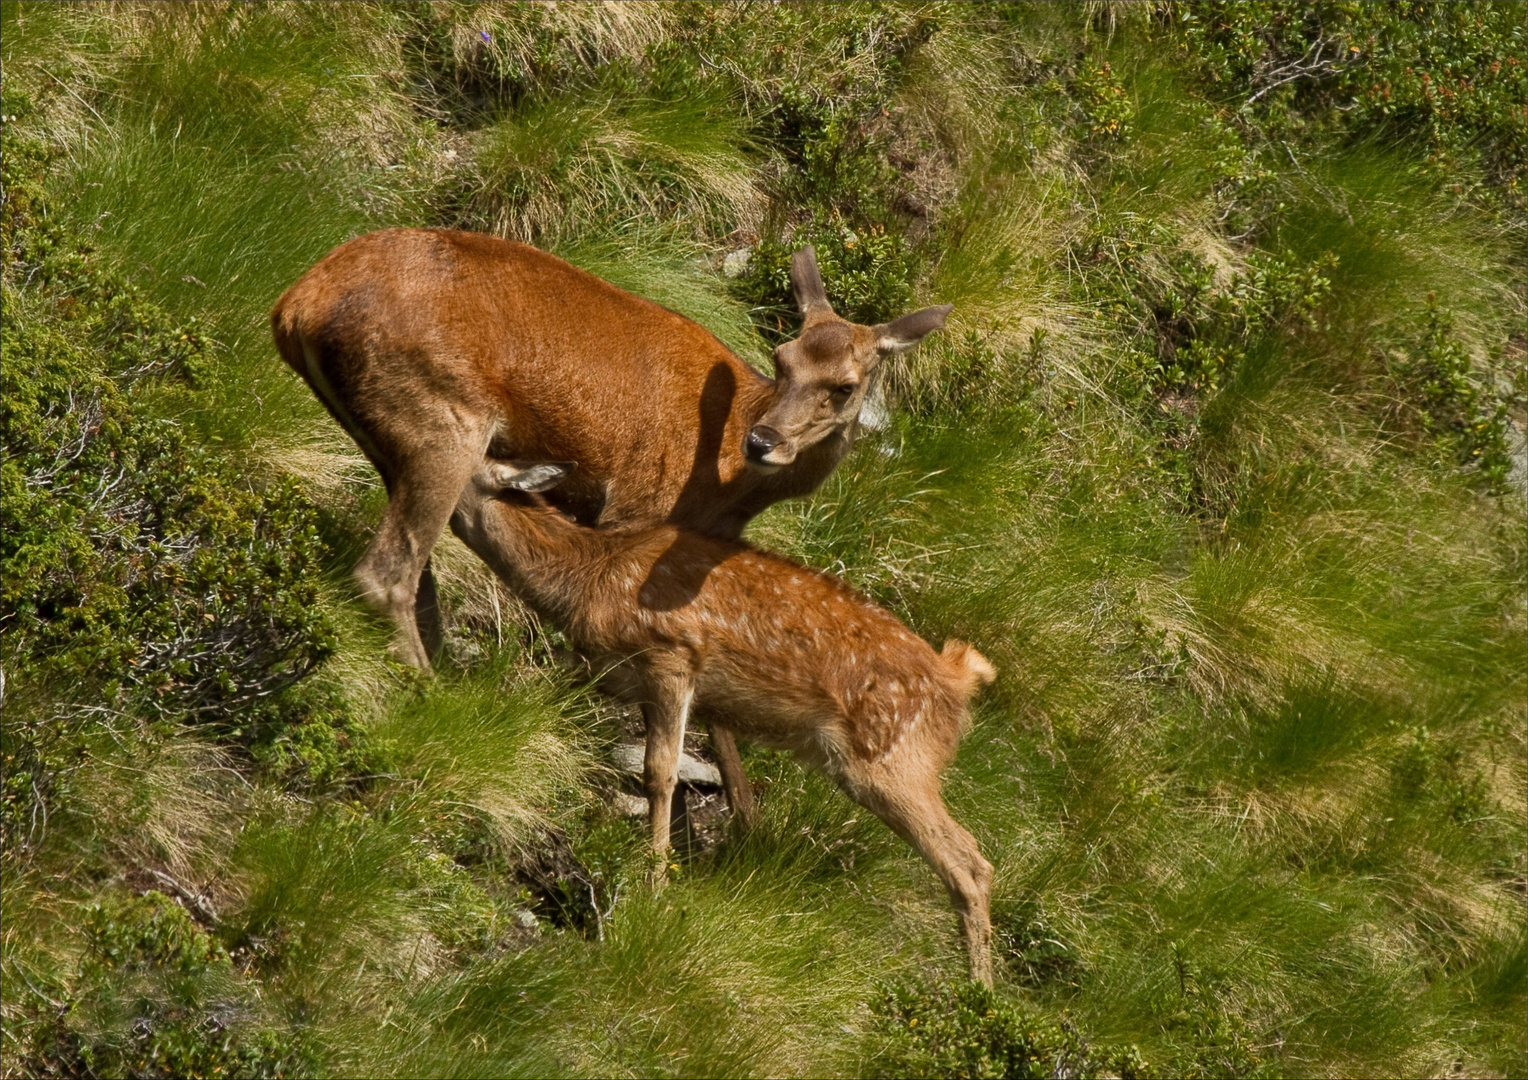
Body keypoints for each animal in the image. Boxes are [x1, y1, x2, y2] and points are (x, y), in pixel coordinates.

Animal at [268, 226, 947, 818]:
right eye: (782, 358)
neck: (730, 489)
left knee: (417, 577)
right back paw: (431, 706)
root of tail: (294, 307)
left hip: (391, 442)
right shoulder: (635, 511)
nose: (763, 440)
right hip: (445, 425)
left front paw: (746, 828)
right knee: (388, 573)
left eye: (845, 385)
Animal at [452, 461, 1002, 983]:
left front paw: (653, 888)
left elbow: (659, 772)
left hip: (890, 760)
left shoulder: (671, 657)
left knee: (968, 862)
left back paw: (977, 993)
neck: (587, 578)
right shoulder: (609, 675)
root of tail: (959, 681)